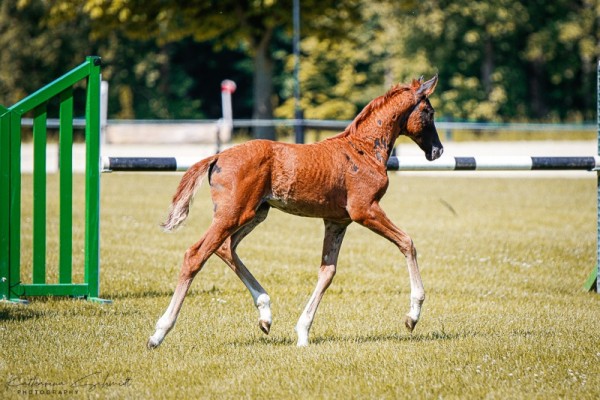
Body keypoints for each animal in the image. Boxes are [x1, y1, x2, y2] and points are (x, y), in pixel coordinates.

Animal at [148, 76, 442, 346]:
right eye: (429, 112)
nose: (437, 150)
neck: (364, 150)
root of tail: (217, 157)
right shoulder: (365, 210)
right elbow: (407, 242)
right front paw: (412, 316)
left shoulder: (336, 221)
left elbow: (327, 272)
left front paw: (302, 333)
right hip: (233, 214)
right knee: (196, 254)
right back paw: (159, 332)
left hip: (255, 213)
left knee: (225, 248)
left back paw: (265, 314)